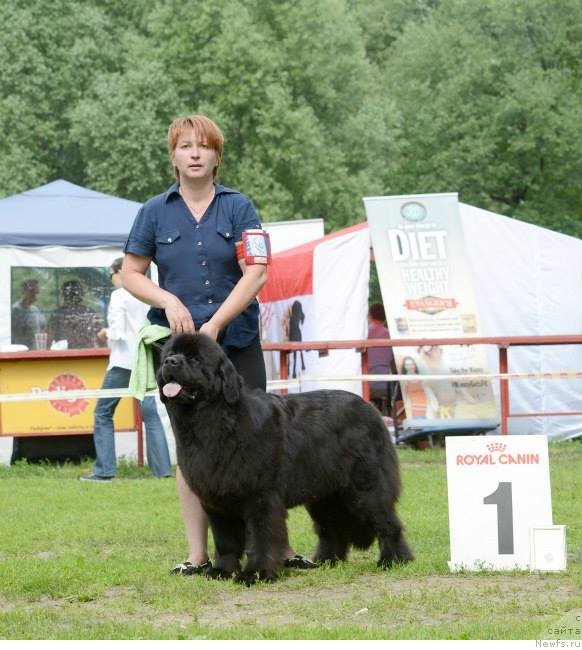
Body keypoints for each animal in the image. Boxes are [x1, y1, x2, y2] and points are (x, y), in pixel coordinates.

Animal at [159, 334, 416, 584]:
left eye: (195, 359)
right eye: (171, 353)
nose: (170, 362)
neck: (213, 421)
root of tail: (371, 408)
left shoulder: (260, 497)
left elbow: (260, 538)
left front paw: (256, 573)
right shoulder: (216, 500)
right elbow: (225, 541)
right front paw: (221, 571)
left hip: (365, 486)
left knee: (388, 522)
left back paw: (394, 560)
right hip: (324, 493)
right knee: (331, 528)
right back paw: (326, 560)